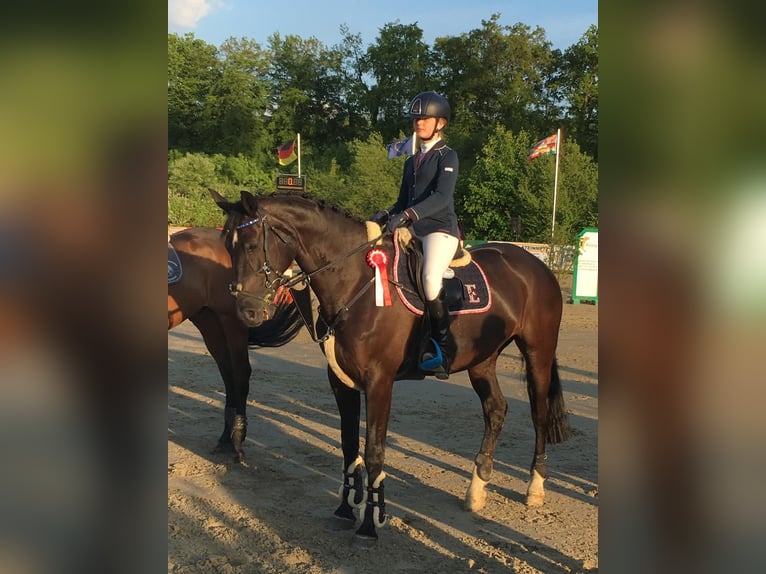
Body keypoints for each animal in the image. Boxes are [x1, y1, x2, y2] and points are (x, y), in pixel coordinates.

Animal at [169, 227, 306, 466]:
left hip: (231, 320)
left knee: (240, 372)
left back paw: (237, 443)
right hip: (207, 319)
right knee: (228, 373)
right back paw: (226, 438)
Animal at [210, 191, 568, 548]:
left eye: (252, 245)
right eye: (227, 245)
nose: (247, 310)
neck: (355, 281)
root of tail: (535, 264)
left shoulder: (379, 382)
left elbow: (374, 452)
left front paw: (370, 523)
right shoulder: (341, 380)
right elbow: (348, 444)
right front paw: (345, 509)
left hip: (538, 352)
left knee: (538, 414)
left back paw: (535, 487)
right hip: (482, 359)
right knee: (496, 409)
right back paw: (477, 490)